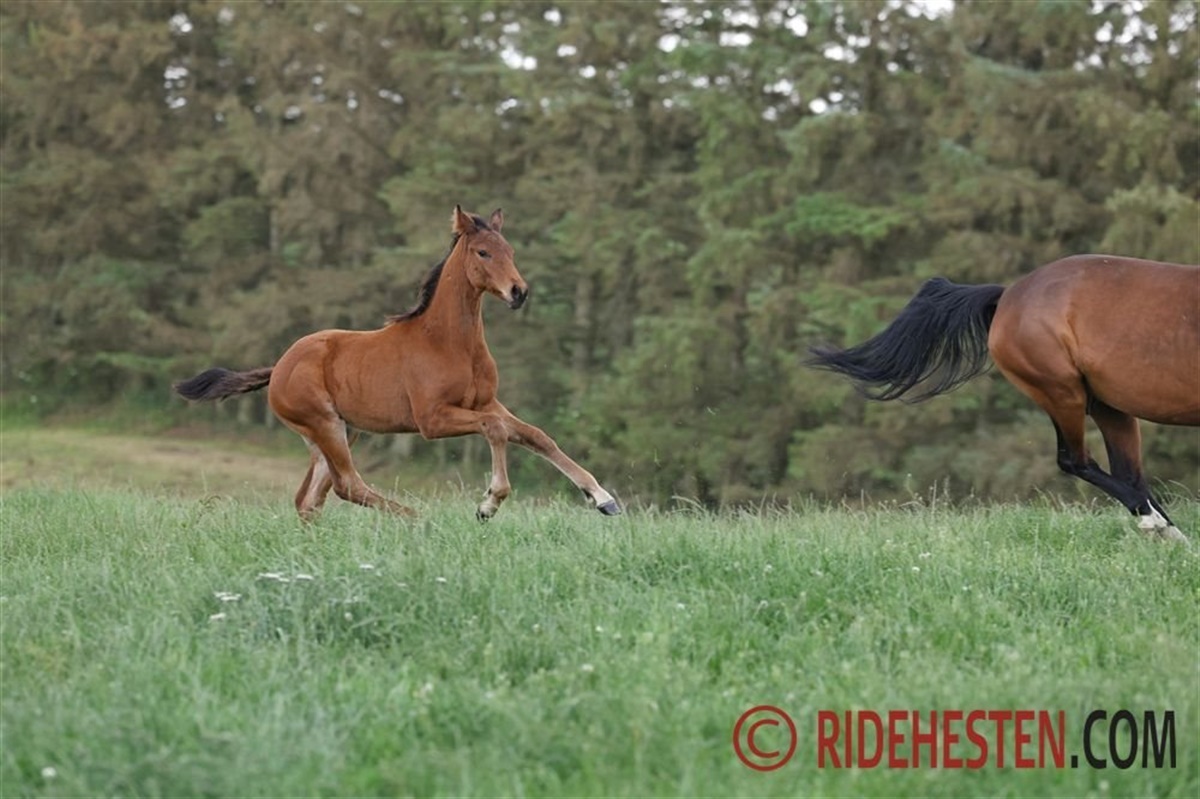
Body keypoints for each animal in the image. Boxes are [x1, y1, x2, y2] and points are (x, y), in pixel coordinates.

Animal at [175, 206, 621, 521]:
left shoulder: (485, 403)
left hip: (340, 431)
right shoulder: (432, 419)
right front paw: (489, 503)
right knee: (347, 486)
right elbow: (496, 430)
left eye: (509, 251)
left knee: (310, 498)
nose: (519, 292)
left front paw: (603, 499)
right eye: (483, 251)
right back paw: (418, 519)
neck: (449, 343)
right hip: (325, 425)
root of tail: (280, 366)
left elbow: (535, 435)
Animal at [808, 254, 1198, 542]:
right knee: (1076, 461)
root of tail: (1010, 293)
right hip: (1062, 392)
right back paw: (1157, 524)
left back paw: (1170, 535)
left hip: (1108, 404)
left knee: (1128, 473)